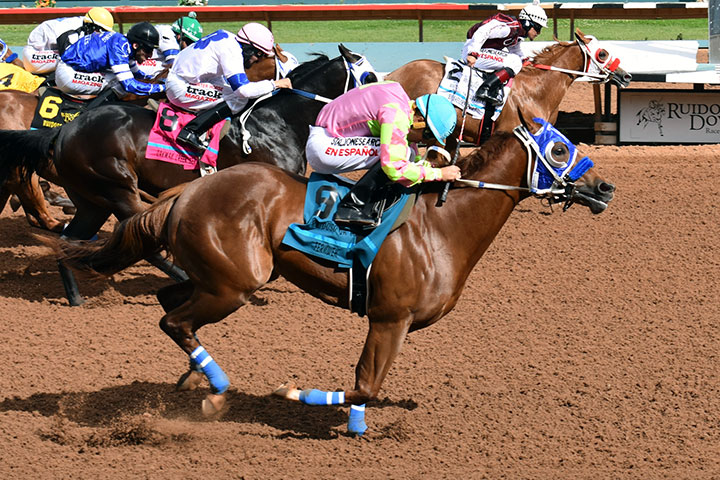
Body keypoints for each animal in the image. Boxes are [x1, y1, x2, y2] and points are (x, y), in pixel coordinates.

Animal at [55, 114, 615, 436]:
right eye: (560, 149)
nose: (605, 187)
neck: (441, 227)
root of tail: (186, 191)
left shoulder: (392, 321)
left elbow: (368, 392)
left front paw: (356, 428)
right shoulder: (390, 318)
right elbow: (364, 385)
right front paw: (295, 396)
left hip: (216, 279)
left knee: (171, 303)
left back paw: (193, 379)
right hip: (235, 284)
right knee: (174, 319)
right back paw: (215, 388)